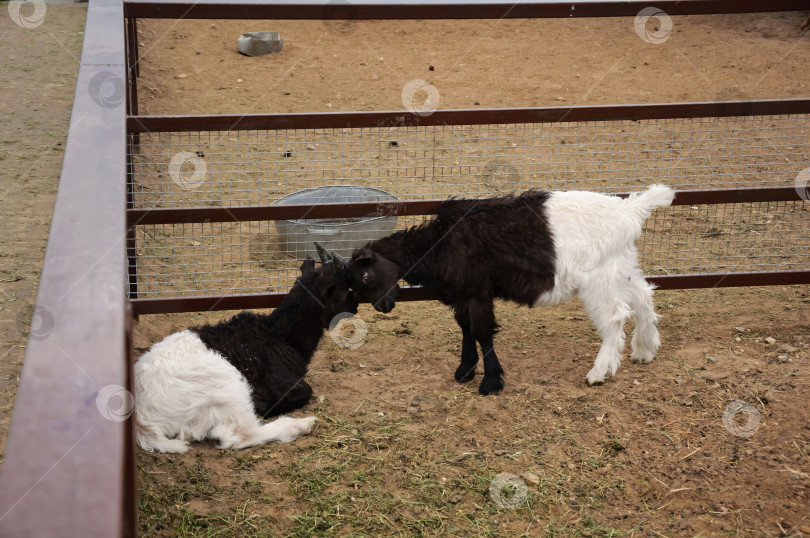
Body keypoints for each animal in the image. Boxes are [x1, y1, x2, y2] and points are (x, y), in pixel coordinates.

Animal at [134, 253, 356, 450]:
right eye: (347, 289)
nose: (355, 308)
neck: (278, 334)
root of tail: (144, 422)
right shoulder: (285, 385)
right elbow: (305, 393)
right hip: (228, 388)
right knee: (239, 436)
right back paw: (302, 424)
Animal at [340, 184, 676, 394]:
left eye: (366, 275)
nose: (383, 307)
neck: (441, 242)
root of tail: (631, 209)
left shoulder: (477, 292)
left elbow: (482, 331)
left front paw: (490, 382)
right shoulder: (464, 295)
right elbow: (465, 328)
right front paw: (465, 370)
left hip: (600, 278)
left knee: (615, 317)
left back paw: (598, 373)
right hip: (622, 267)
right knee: (644, 295)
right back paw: (645, 351)